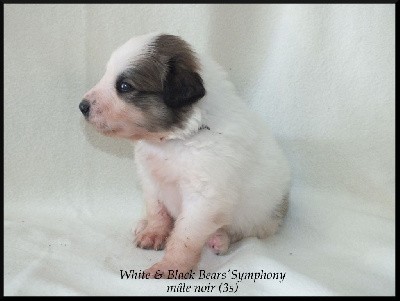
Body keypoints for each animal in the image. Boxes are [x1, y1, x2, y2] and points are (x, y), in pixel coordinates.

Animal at [79, 32, 290, 276]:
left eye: (124, 86)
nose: (82, 106)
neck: (172, 141)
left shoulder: (203, 197)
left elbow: (184, 237)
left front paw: (170, 266)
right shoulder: (150, 180)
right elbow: (157, 211)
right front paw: (153, 232)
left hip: (261, 217)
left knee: (240, 231)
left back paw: (220, 239)